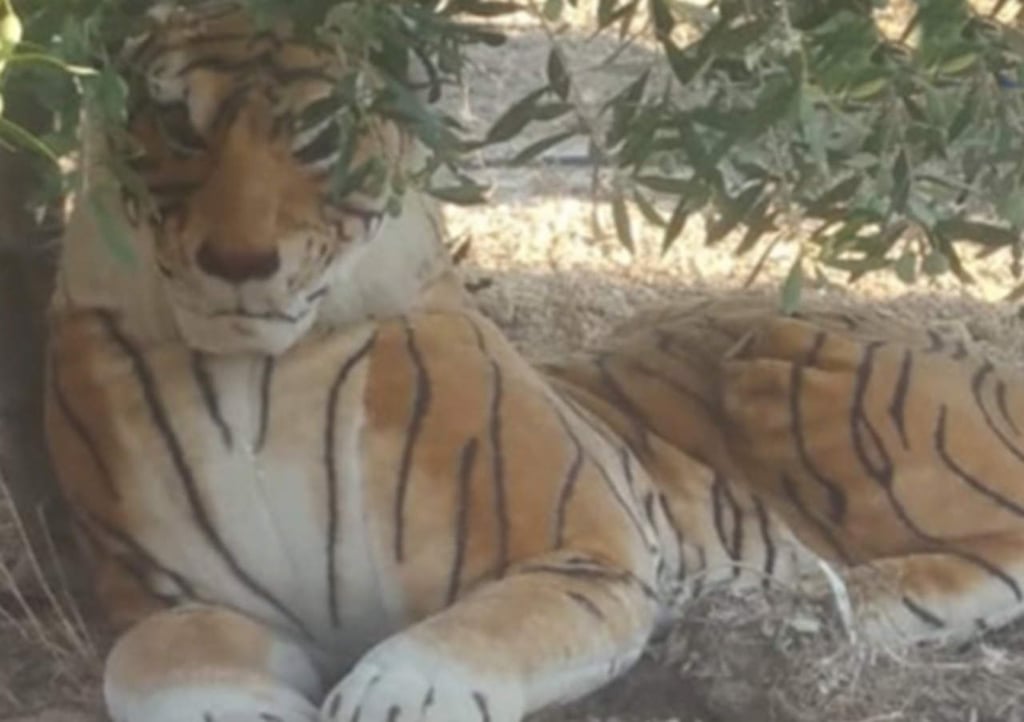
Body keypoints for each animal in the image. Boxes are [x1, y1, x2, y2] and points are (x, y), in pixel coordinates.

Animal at [43, 3, 1024, 722]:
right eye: (176, 123)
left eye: (320, 134)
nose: (238, 260)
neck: (262, 377)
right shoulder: (173, 599)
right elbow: (157, 663)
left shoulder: (578, 550)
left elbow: (468, 637)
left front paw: (394, 693)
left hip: (794, 364)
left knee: (1000, 544)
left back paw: (817, 606)